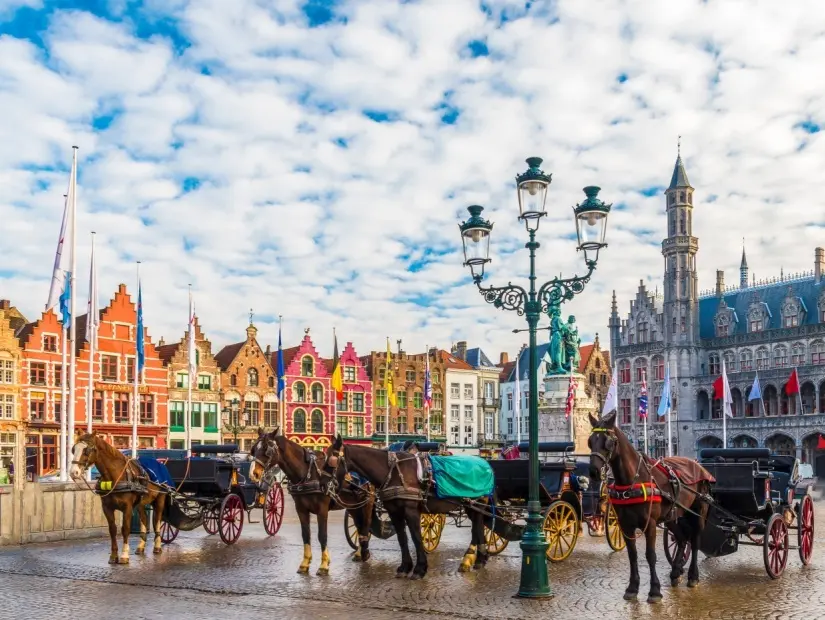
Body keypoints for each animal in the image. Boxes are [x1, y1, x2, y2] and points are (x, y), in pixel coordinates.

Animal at [69, 434, 169, 564]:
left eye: (87, 450)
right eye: (73, 449)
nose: (73, 472)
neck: (115, 476)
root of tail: (160, 463)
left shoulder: (127, 507)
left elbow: (125, 529)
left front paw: (124, 555)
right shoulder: (107, 507)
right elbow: (112, 530)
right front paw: (113, 555)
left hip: (160, 499)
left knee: (157, 520)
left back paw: (157, 546)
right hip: (141, 504)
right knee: (144, 519)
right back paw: (141, 547)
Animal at [245, 426, 374, 576]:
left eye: (267, 449)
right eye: (253, 449)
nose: (253, 474)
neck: (308, 473)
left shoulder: (322, 509)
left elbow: (322, 535)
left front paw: (324, 565)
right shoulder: (301, 509)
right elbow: (305, 535)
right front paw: (305, 563)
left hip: (367, 502)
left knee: (365, 525)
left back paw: (362, 553)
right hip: (353, 505)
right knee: (359, 526)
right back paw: (359, 553)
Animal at [324, 434, 490, 580]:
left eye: (331, 458)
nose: (323, 485)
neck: (393, 473)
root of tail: (485, 463)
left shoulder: (411, 511)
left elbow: (416, 537)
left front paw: (420, 569)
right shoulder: (394, 512)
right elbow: (402, 538)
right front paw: (404, 567)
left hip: (477, 503)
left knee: (478, 525)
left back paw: (471, 558)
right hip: (471, 506)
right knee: (479, 525)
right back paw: (479, 559)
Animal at [584, 410, 716, 604]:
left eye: (608, 442)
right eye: (590, 440)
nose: (593, 472)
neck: (633, 480)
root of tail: (697, 464)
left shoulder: (651, 524)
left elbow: (650, 555)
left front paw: (655, 591)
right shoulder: (625, 525)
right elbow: (632, 555)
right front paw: (632, 588)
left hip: (698, 513)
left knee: (695, 540)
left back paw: (693, 576)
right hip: (672, 516)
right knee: (682, 538)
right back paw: (676, 572)